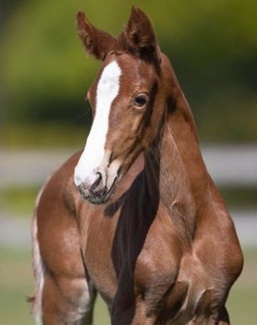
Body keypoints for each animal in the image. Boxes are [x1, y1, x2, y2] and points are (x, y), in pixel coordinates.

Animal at [30, 6, 242, 324]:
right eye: (90, 100)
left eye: (140, 98)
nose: (88, 181)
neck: (187, 224)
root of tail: (54, 178)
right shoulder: (136, 309)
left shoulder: (213, 308)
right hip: (68, 297)